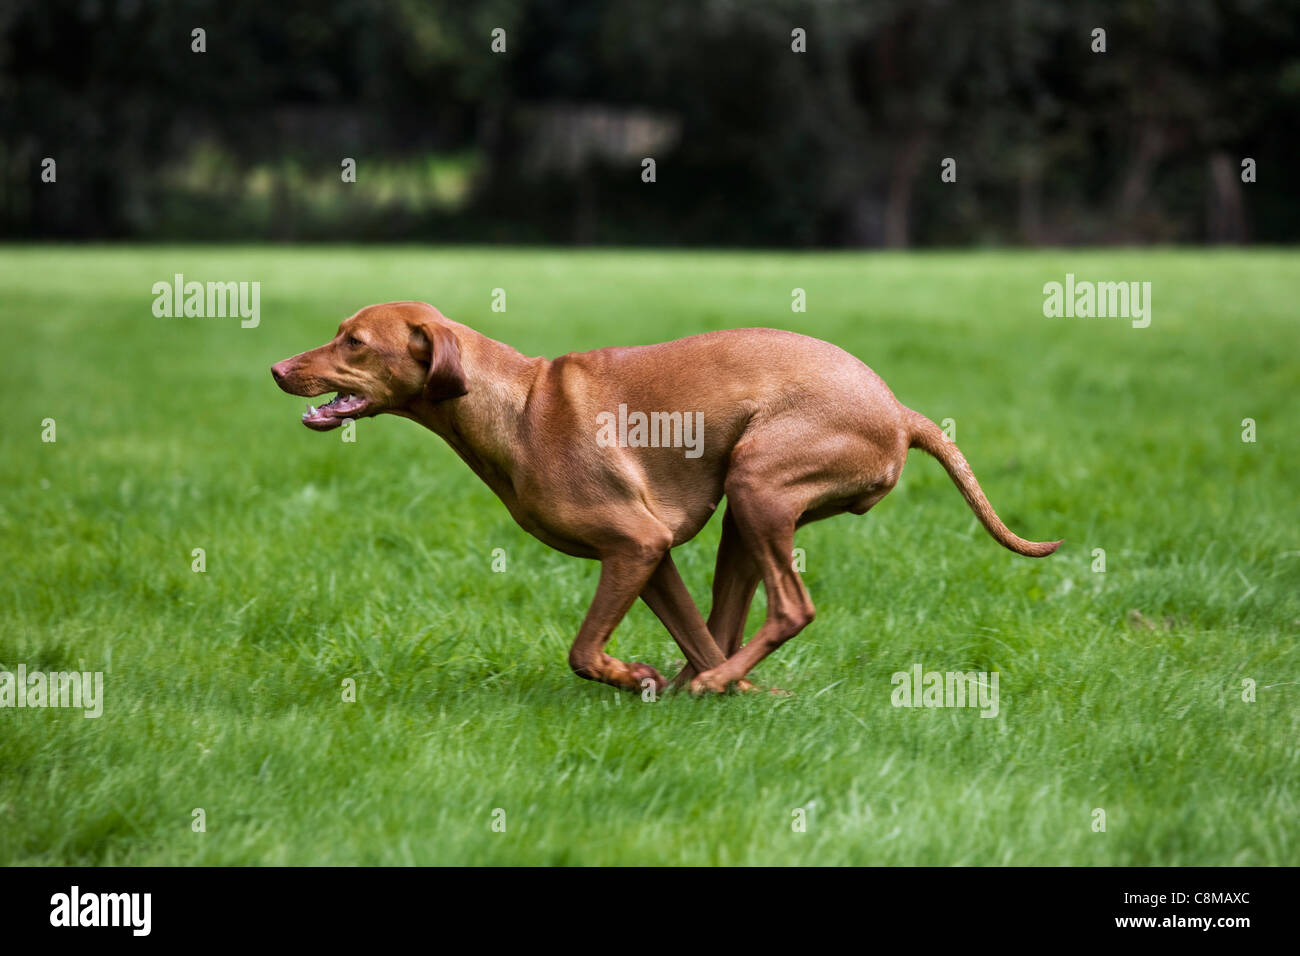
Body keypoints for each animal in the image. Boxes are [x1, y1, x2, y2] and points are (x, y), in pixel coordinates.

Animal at [271, 300, 1055, 697]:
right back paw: (715, 687)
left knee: (791, 609)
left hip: (758, 483)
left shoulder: (635, 545)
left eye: (354, 342)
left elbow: (583, 651)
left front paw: (631, 675)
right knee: (726, 630)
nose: (277, 368)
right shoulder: (649, 559)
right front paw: (699, 688)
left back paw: (712, 685)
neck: (518, 405)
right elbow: (694, 633)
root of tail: (899, 411)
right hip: (743, 515)